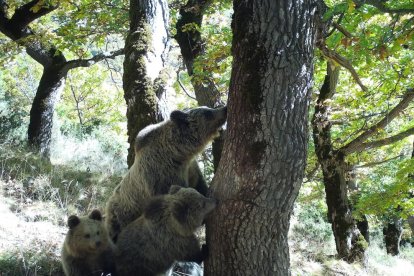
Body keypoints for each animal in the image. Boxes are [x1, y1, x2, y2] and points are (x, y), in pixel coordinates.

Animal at [104, 105, 226, 239]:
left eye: (207, 108)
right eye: (207, 113)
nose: (224, 109)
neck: (178, 154)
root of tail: (107, 206)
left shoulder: (190, 169)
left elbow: (199, 184)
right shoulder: (162, 177)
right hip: (121, 217)